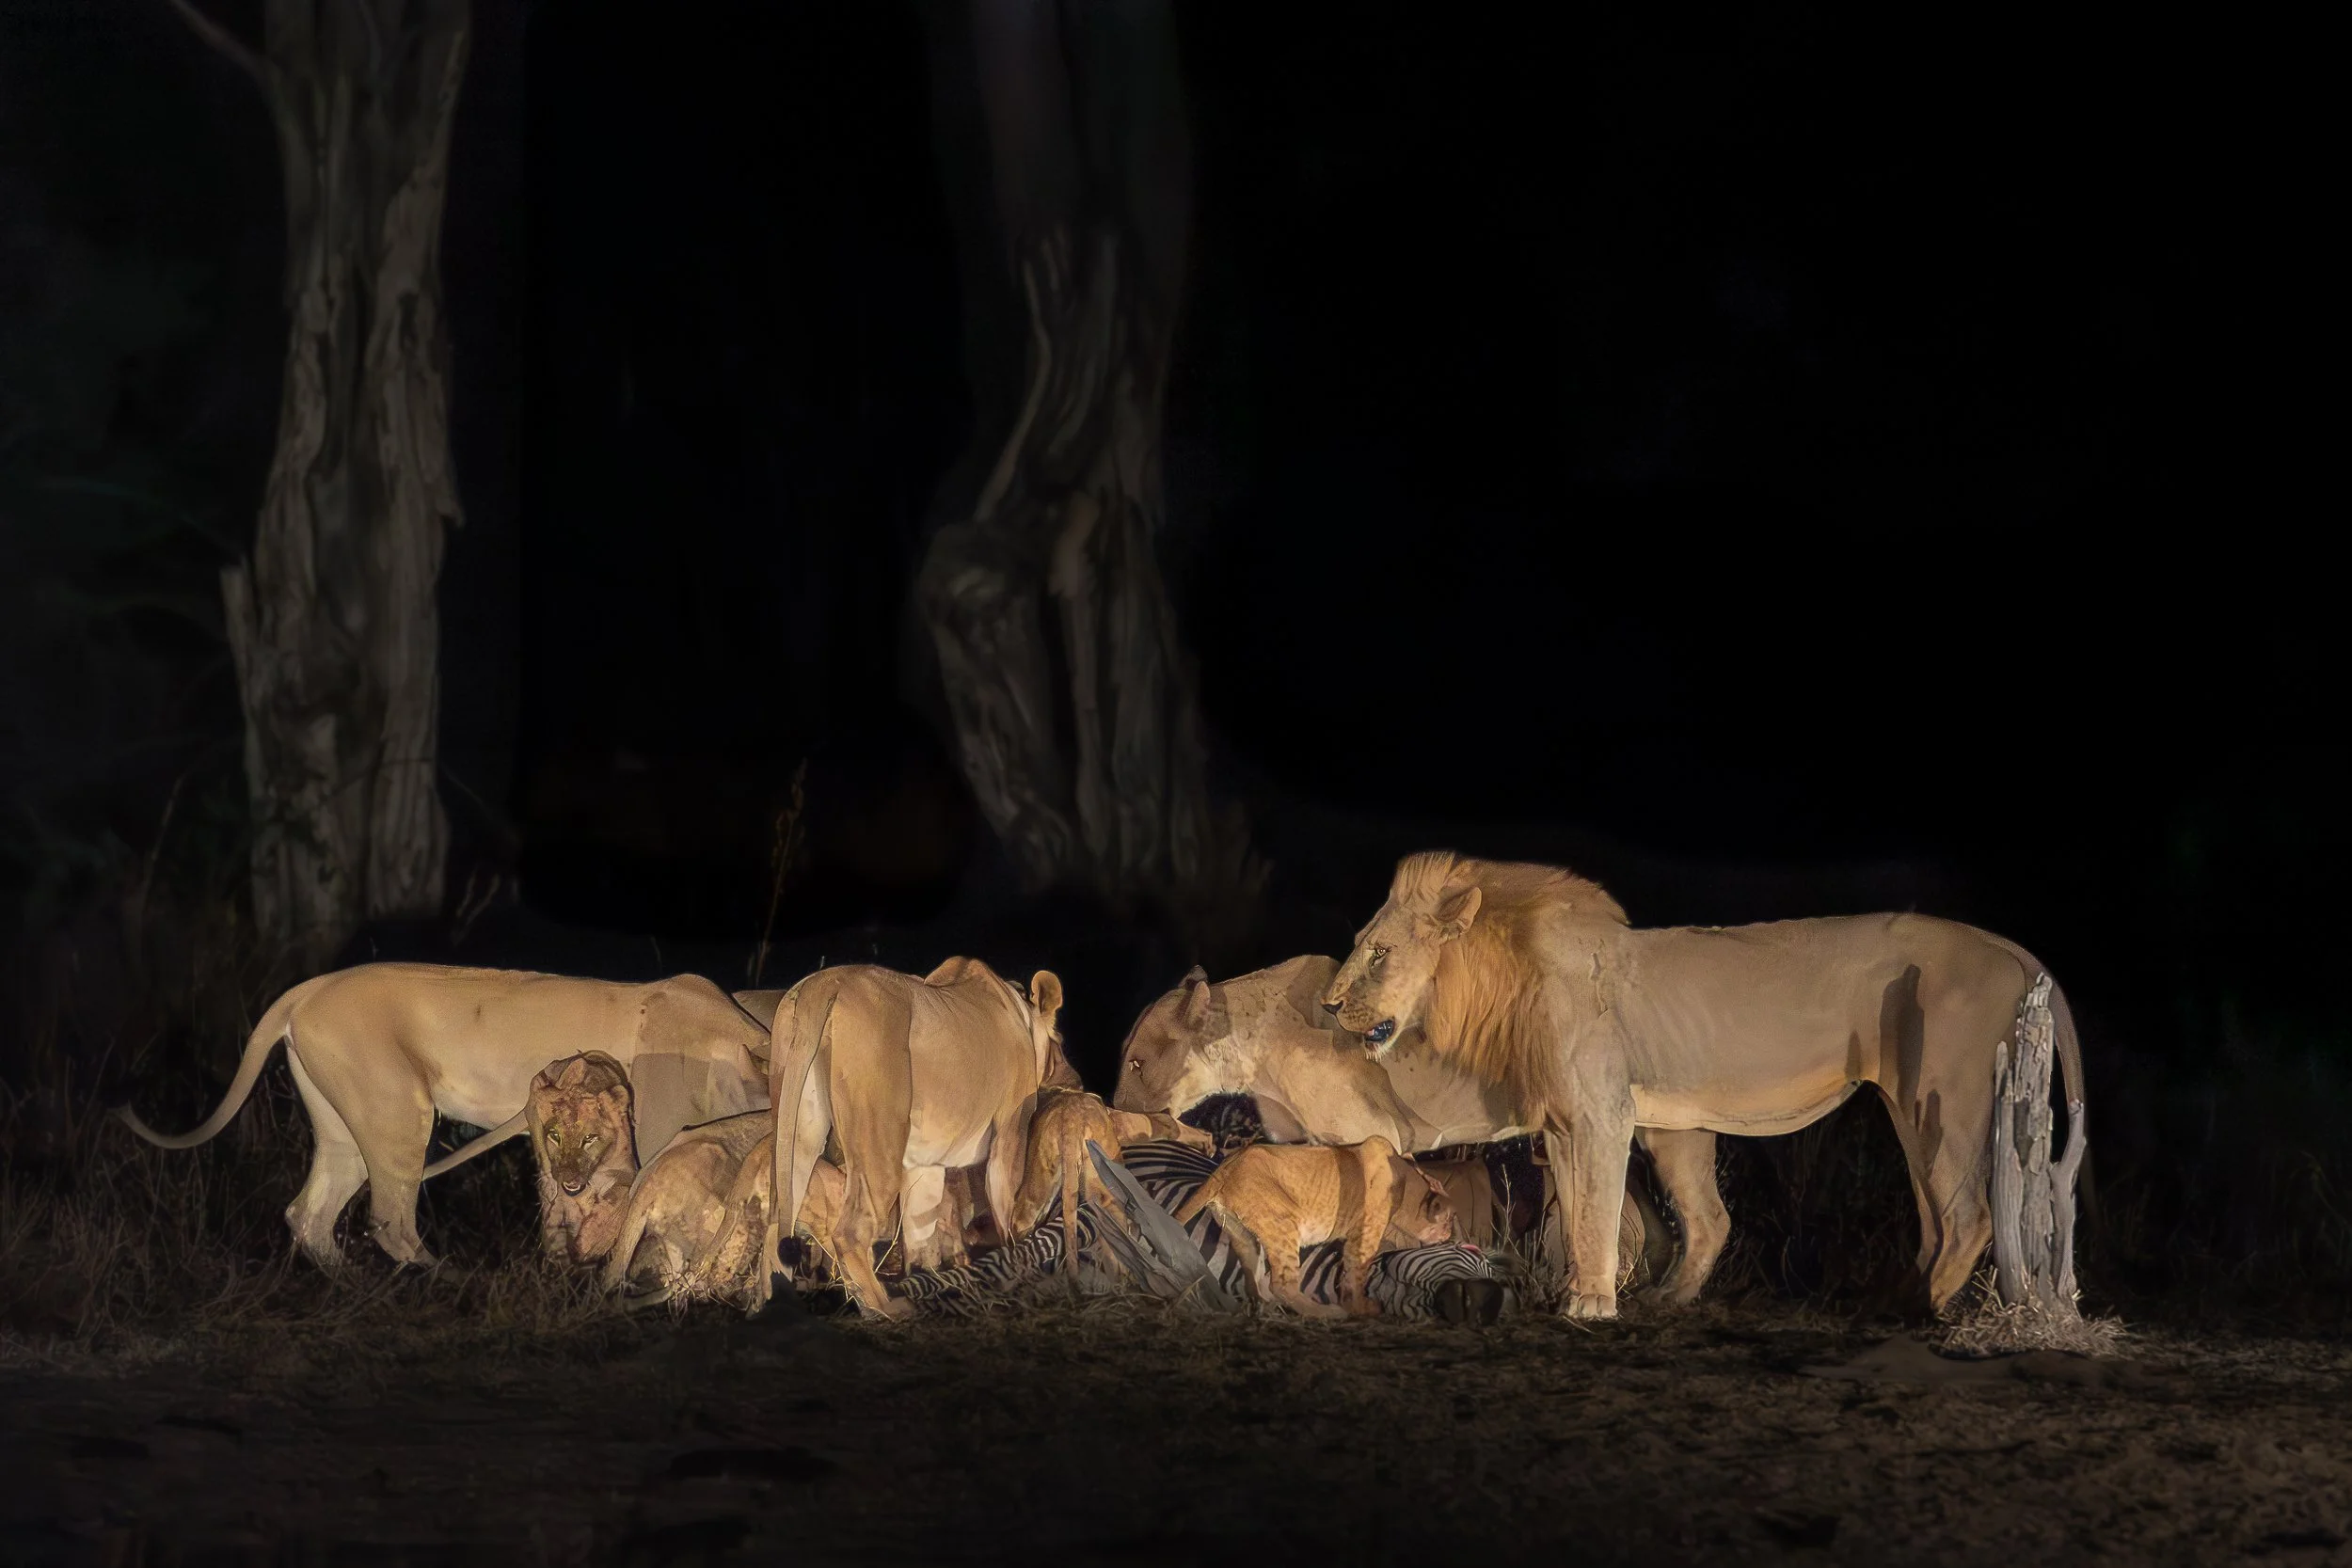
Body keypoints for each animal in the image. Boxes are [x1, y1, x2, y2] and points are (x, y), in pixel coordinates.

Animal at [116, 964, 771, 1268]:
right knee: (391, 1223)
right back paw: (446, 1287)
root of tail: (308, 988)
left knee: (309, 1214)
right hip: (399, 1114)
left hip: (348, 1130)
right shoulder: (658, 1135)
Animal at [763, 956, 1078, 1320]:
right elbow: (1005, 1210)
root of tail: (824, 984)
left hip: (795, 1133)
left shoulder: (926, 1163)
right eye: (1061, 1043)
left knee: (774, 1227)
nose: (1077, 1080)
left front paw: (926, 1277)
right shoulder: (1011, 1129)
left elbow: (919, 1234)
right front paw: (1016, 1275)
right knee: (849, 1232)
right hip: (880, 1139)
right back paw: (884, 1308)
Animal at [1174, 1136, 1459, 1319]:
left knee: (1253, 1281)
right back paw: (1326, 1313)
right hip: (1282, 1223)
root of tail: (1226, 1166)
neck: (1409, 1181)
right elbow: (1358, 1272)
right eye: (1450, 1219)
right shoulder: (1366, 1232)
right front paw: (1361, 1309)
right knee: (1282, 1284)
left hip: (1242, 1234)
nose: (1450, 1234)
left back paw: (1265, 1308)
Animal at [1321, 852, 2085, 1319]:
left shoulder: (1603, 1113)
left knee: (1969, 1214)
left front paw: (1590, 1305)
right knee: (1735, 1218)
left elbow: (1594, 1212)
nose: (1328, 1006)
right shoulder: (1567, 1123)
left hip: (1947, 1096)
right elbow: (1579, 1212)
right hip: (1881, 1110)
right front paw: (1579, 1291)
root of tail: (2010, 947)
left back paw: (1918, 1309)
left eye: (1379, 953)